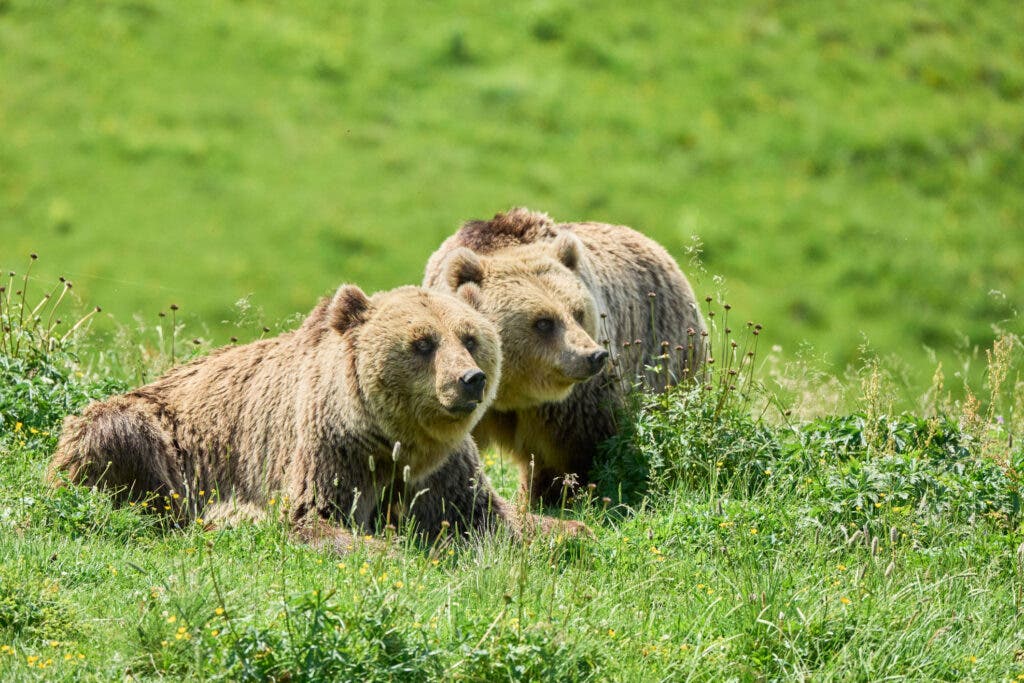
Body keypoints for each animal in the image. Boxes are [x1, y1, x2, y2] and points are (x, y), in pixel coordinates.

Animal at [47, 283, 585, 549]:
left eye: (470, 337)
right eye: (422, 342)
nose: (469, 379)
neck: (398, 439)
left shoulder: (444, 470)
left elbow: (492, 516)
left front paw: (570, 532)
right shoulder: (332, 446)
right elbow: (316, 516)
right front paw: (389, 550)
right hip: (149, 430)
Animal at [423, 208, 706, 505]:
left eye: (578, 313)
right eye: (543, 322)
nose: (594, 355)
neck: (511, 391)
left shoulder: (572, 403)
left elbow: (586, 445)